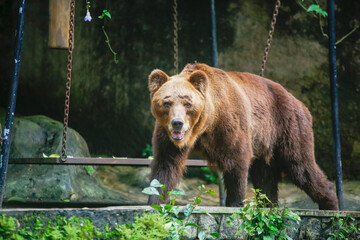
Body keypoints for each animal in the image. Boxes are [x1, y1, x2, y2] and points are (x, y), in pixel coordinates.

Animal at [148, 62, 338, 210]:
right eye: (166, 102)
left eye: (188, 103)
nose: (177, 123)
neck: (205, 125)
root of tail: (299, 102)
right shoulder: (167, 136)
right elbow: (165, 166)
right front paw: (154, 201)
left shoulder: (230, 123)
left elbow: (236, 160)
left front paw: (235, 203)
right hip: (264, 144)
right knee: (265, 177)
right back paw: (269, 205)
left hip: (289, 125)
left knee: (301, 165)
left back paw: (330, 204)